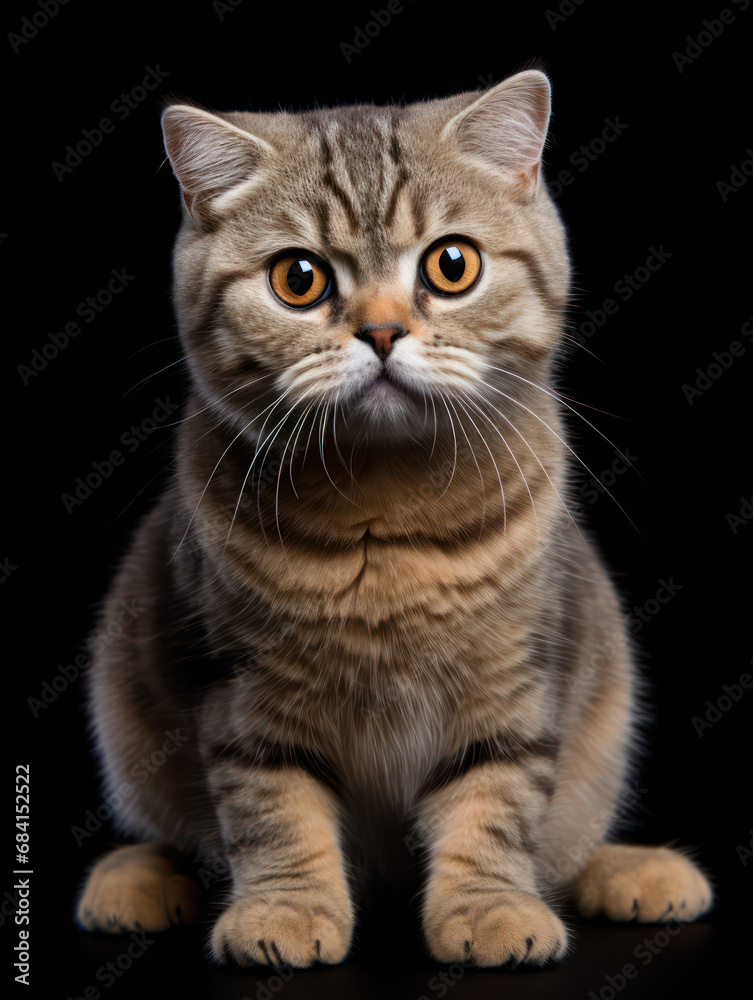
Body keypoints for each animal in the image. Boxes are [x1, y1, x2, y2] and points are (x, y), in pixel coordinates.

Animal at [75, 70, 712, 968]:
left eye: (451, 265)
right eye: (298, 279)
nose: (381, 330)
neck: (387, 515)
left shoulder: (514, 683)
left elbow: (496, 805)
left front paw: (489, 908)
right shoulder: (242, 694)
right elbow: (273, 812)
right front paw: (284, 909)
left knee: (567, 844)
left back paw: (634, 871)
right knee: (170, 837)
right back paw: (132, 879)